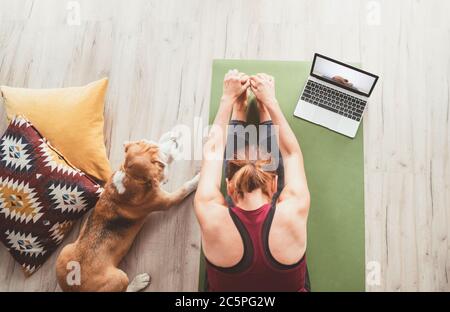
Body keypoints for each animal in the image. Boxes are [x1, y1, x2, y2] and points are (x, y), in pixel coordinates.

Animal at [55, 132, 199, 292]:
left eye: (150, 142)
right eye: (158, 160)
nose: (174, 137)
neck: (130, 176)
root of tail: (73, 287)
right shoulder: (167, 201)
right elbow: (185, 187)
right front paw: (198, 179)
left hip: (64, 252)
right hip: (119, 278)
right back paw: (140, 281)